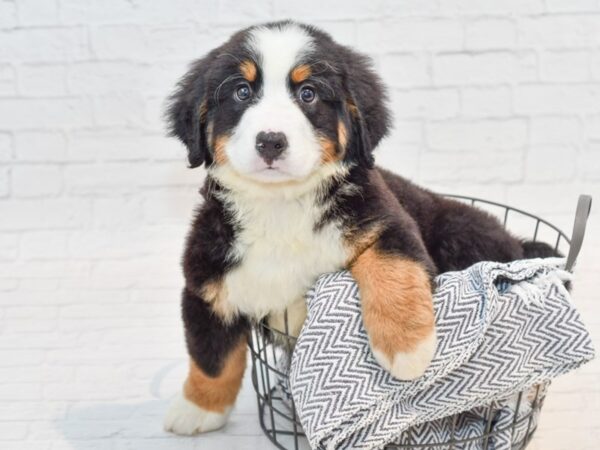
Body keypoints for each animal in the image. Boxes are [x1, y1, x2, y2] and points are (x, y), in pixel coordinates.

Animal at [162, 21, 556, 436]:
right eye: (241, 91)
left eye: (308, 93)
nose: (270, 141)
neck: (281, 206)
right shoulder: (207, 281)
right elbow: (212, 358)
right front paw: (197, 409)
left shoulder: (387, 222)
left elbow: (392, 270)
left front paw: (407, 348)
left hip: (460, 235)